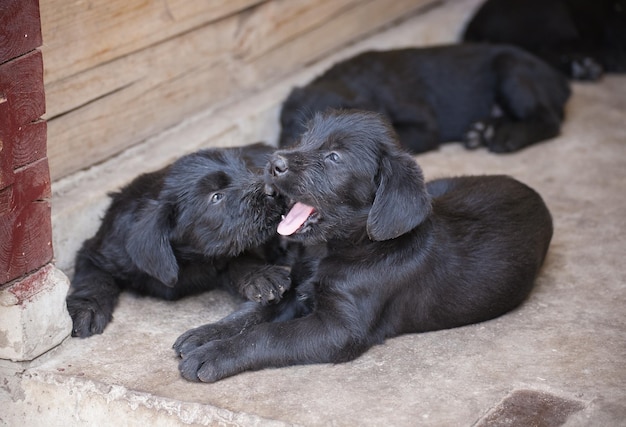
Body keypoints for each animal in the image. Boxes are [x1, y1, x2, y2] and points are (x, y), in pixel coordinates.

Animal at [64, 143, 288, 338]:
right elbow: (95, 279)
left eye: (247, 170)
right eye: (216, 197)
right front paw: (87, 308)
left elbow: (240, 258)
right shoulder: (96, 252)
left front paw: (261, 276)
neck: (189, 260)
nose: (274, 192)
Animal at [172, 111, 552, 384]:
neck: (341, 248)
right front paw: (207, 334)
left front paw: (214, 355)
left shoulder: (340, 329)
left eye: (334, 157)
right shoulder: (297, 285)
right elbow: (254, 312)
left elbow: (269, 335)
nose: (273, 163)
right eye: (305, 138)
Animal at [276, 41, 568, 155]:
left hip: (512, 69)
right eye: (296, 129)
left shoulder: (425, 125)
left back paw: (508, 137)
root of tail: (559, 80)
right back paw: (482, 130)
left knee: (548, 120)